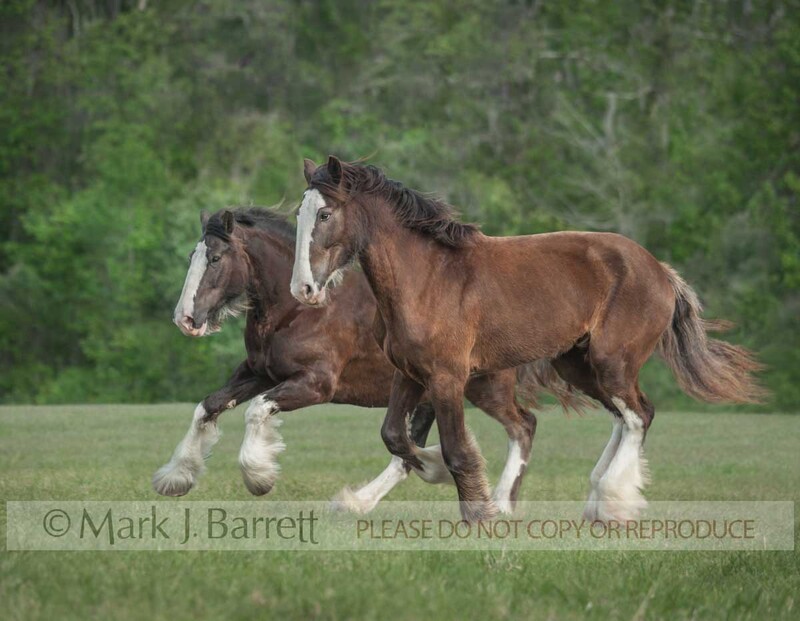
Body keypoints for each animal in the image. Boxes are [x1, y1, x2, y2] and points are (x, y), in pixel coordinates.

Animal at [153, 207, 585, 512]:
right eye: (193, 255)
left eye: (215, 258)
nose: (185, 319)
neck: (297, 310)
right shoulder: (259, 372)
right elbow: (207, 406)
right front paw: (175, 478)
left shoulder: (315, 384)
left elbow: (256, 410)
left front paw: (258, 477)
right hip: (431, 395)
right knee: (407, 452)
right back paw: (358, 502)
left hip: (483, 389)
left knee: (523, 425)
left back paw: (499, 503)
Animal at [290, 156, 765, 523]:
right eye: (299, 215)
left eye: (325, 215)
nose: (304, 289)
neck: (426, 278)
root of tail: (661, 272)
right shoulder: (408, 373)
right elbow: (394, 435)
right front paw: (438, 478)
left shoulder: (446, 377)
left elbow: (456, 449)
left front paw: (475, 513)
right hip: (577, 364)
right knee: (616, 416)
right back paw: (567, 502)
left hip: (613, 361)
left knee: (638, 415)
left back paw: (612, 502)